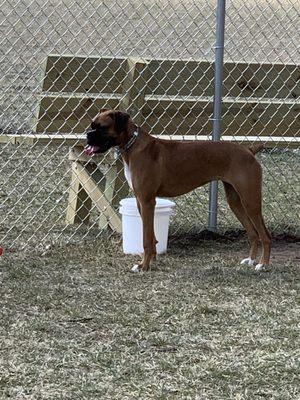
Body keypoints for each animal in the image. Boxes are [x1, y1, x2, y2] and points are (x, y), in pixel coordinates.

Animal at [85, 108, 272, 272]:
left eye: (101, 127)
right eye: (92, 125)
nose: (87, 134)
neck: (133, 144)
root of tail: (249, 150)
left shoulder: (147, 202)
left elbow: (146, 238)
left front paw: (143, 266)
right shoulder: (140, 202)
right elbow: (152, 237)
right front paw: (151, 261)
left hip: (250, 201)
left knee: (265, 235)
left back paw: (263, 264)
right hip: (235, 202)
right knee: (253, 233)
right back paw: (251, 260)